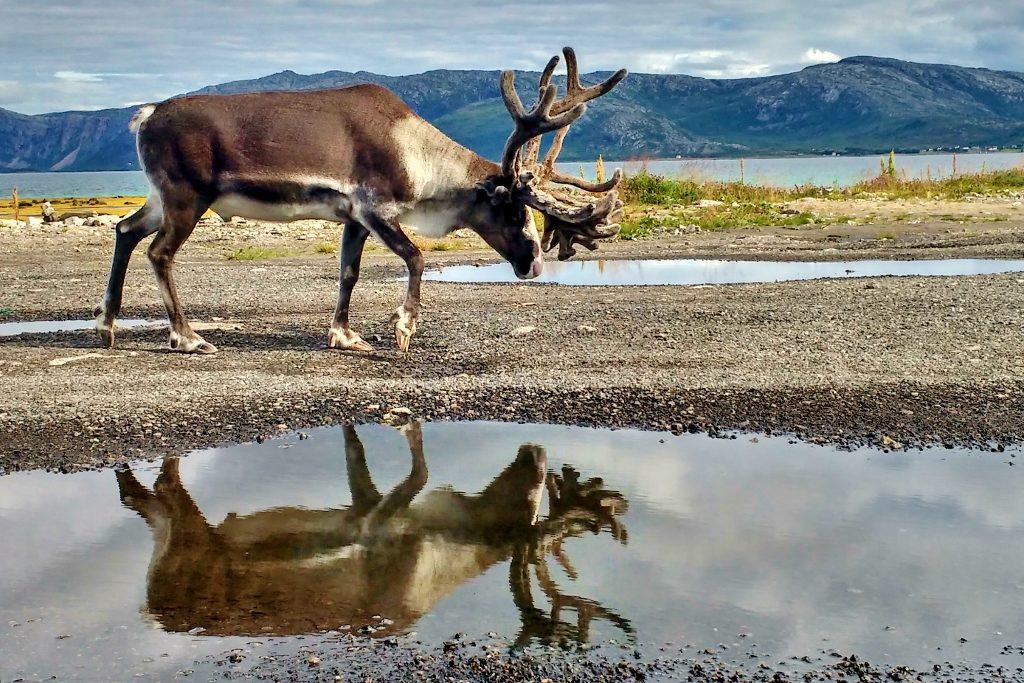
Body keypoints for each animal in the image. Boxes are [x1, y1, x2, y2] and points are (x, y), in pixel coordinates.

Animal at [94, 48, 627, 354]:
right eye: (512, 208)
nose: (533, 264)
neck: (417, 155)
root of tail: (146, 115)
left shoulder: (353, 216)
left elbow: (348, 272)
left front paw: (345, 336)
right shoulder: (376, 207)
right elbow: (416, 256)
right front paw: (404, 328)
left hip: (161, 197)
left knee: (125, 230)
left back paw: (107, 324)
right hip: (187, 196)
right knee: (158, 252)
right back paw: (186, 337)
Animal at [115, 422, 632, 646]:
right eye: (533, 499)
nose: (536, 452)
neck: (446, 545)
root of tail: (153, 607)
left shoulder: (368, 512)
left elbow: (362, 454)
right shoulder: (380, 524)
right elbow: (417, 468)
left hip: (176, 532)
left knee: (146, 497)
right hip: (187, 535)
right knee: (158, 490)